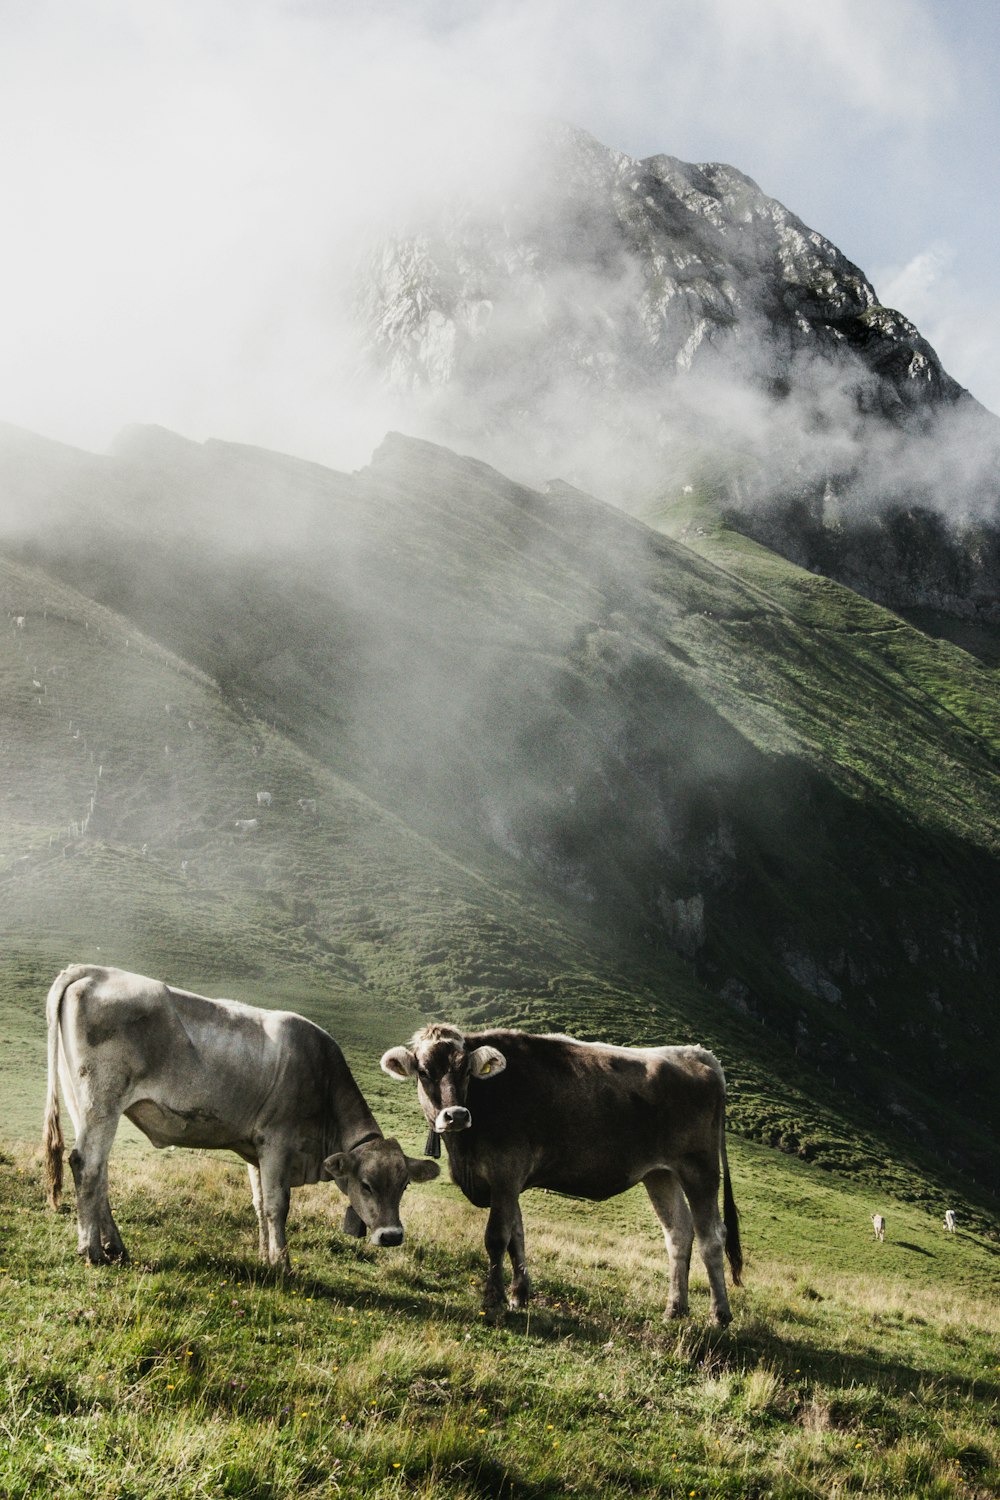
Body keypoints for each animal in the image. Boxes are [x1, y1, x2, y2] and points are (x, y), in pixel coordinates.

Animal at [41, 966, 440, 1272]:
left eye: (404, 1185)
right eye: (367, 1185)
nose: (392, 1235)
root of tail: (93, 970)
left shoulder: (255, 1150)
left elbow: (260, 1205)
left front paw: (265, 1257)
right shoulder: (277, 1142)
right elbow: (278, 1206)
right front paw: (283, 1265)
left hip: (82, 1103)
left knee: (100, 1172)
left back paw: (116, 1248)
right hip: (102, 1100)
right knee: (87, 1165)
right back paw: (92, 1250)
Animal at [383, 1020, 743, 1326]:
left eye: (464, 1069)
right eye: (425, 1071)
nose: (456, 1115)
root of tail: (697, 1053)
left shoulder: (505, 1174)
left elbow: (497, 1238)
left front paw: (493, 1302)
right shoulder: (510, 1182)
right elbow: (517, 1235)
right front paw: (518, 1295)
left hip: (699, 1168)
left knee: (712, 1236)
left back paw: (719, 1315)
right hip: (661, 1174)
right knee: (679, 1233)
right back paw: (674, 1310)